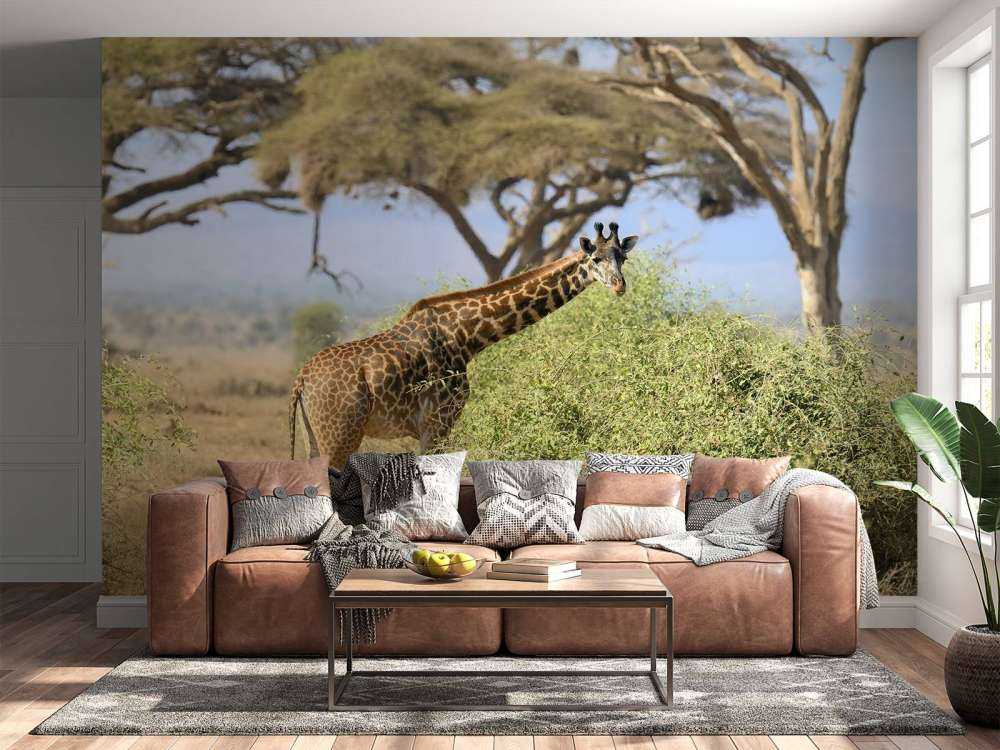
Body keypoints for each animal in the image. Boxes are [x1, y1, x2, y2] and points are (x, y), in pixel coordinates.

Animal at [289, 222, 638, 468]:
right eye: (595, 258)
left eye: (622, 257)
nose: (619, 286)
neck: (466, 337)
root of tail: (301, 379)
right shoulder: (437, 423)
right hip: (340, 435)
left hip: (314, 438)